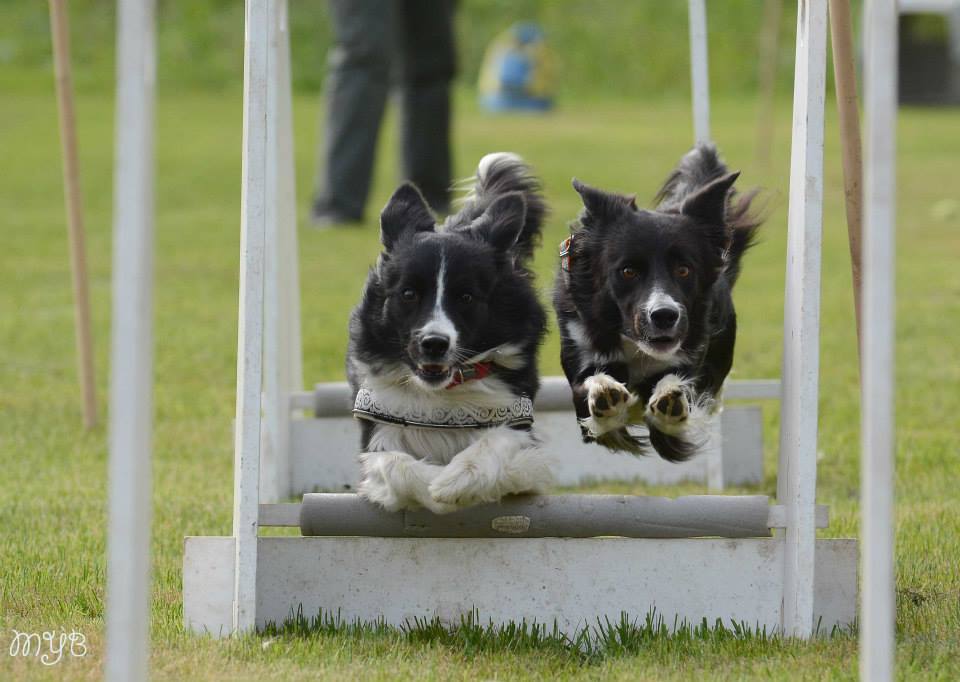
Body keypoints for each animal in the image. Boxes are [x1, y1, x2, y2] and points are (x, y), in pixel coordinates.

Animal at [348, 153, 552, 510]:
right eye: (408, 293)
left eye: (466, 297)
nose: (434, 344)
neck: (443, 392)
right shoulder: (378, 429)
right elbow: (394, 463)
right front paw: (433, 485)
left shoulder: (518, 424)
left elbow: (496, 442)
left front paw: (455, 482)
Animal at [552, 145, 760, 460]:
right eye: (628, 271)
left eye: (684, 270)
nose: (664, 315)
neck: (636, 347)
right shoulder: (582, 351)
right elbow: (591, 390)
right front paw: (605, 393)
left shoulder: (690, 361)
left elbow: (676, 396)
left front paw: (669, 399)